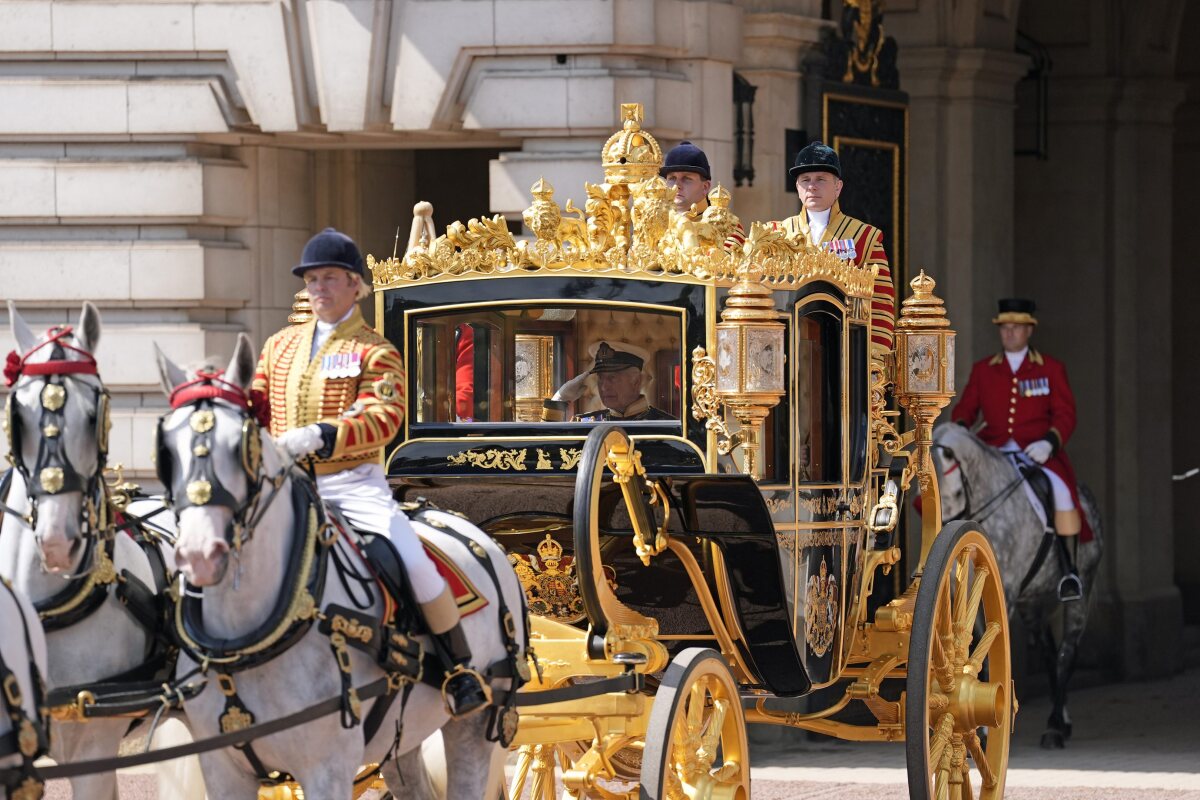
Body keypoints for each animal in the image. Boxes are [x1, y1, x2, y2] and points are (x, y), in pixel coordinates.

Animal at [154, 333, 520, 800]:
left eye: (243, 447)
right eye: (166, 450)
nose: (200, 552)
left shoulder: (327, 769)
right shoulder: (222, 769)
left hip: (475, 726)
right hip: (404, 737)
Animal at [926, 424, 1104, 753]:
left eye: (951, 490)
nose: (945, 539)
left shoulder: (1003, 594)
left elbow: (986, 649)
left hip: (1079, 592)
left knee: (1066, 653)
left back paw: (1055, 726)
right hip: (1031, 602)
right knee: (1049, 654)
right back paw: (1062, 719)